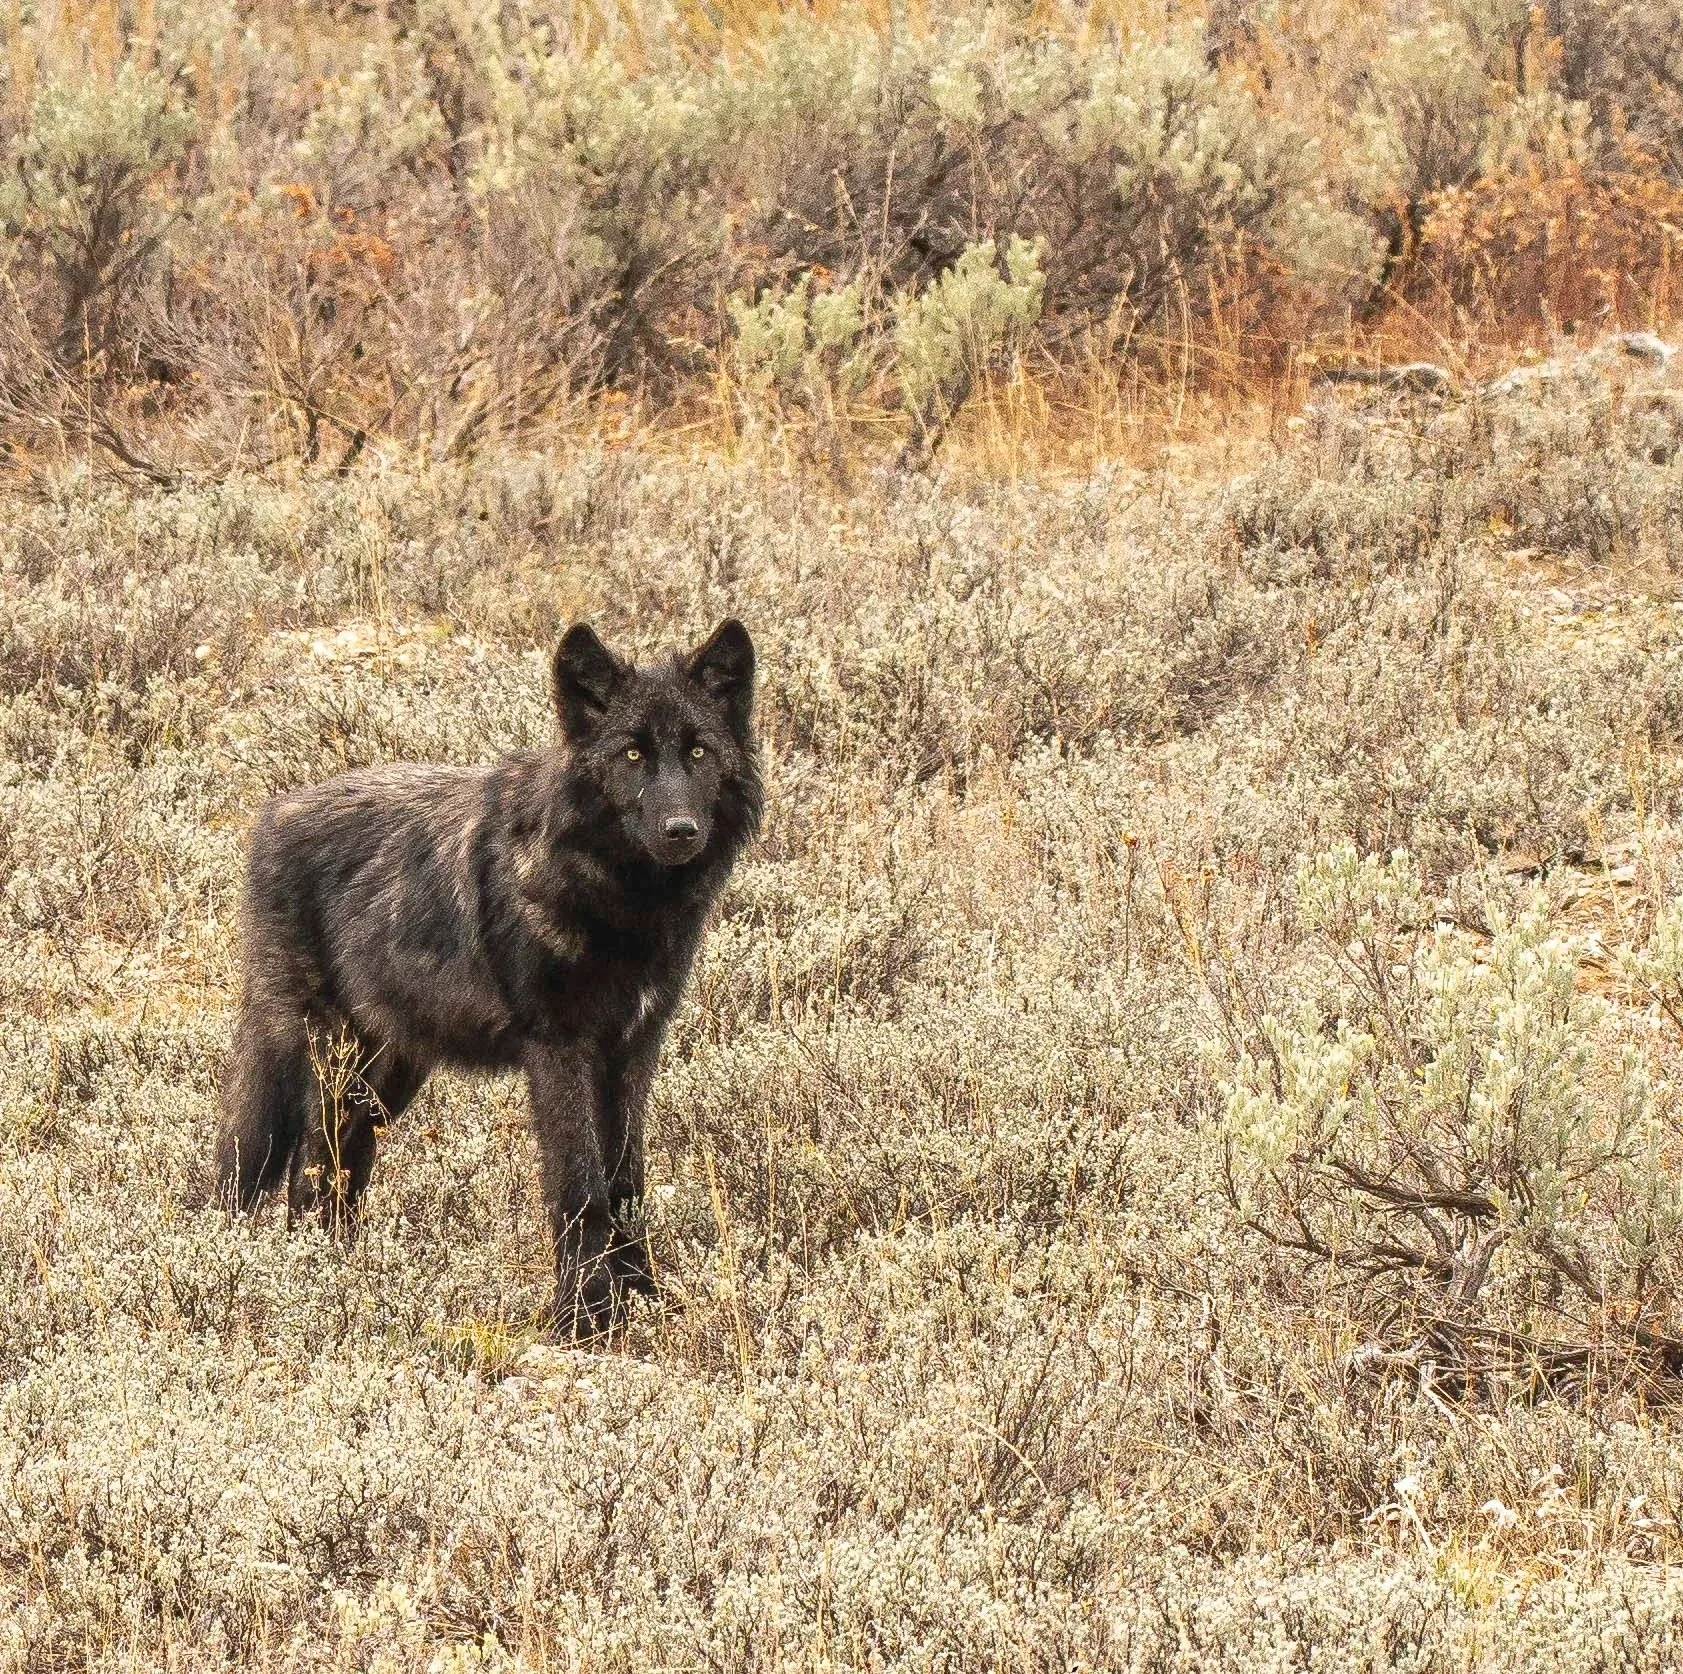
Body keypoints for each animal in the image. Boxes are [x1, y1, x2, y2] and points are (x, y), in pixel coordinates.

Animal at [214, 618, 761, 1335]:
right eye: (632, 756)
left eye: (697, 751)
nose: (680, 830)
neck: (620, 903)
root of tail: (270, 816)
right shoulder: (559, 1050)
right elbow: (580, 1187)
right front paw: (586, 1317)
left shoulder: (633, 1049)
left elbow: (625, 1181)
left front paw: (643, 1300)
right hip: (327, 1057)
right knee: (305, 1160)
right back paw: (309, 1273)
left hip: (389, 1077)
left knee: (341, 1163)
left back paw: (343, 1273)